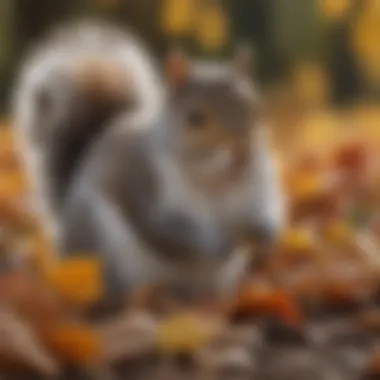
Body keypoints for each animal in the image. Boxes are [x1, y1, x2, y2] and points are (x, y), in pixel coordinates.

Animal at [12, 20, 284, 300]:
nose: (243, 155)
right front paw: (217, 244)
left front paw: (266, 232)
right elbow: (165, 230)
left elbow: (264, 207)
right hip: (102, 254)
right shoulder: (144, 186)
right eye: (194, 119)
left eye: (255, 109)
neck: (216, 182)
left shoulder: (258, 185)